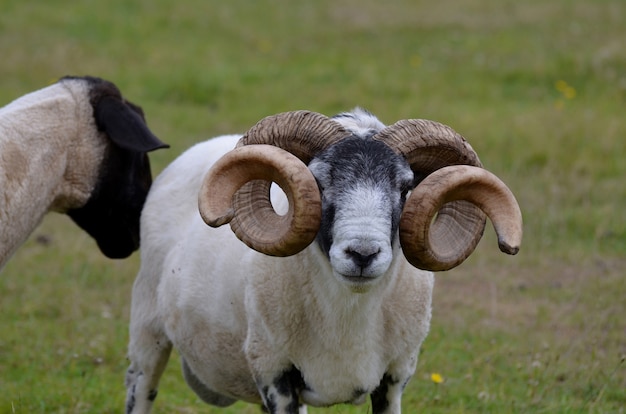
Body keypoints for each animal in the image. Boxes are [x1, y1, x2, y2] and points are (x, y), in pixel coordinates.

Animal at [123, 109, 520, 414]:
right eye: (319, 180)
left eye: (406, 187)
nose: (362, 254)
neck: (348, 317)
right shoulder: (275, 374)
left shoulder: (395, 377)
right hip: (146, 329)